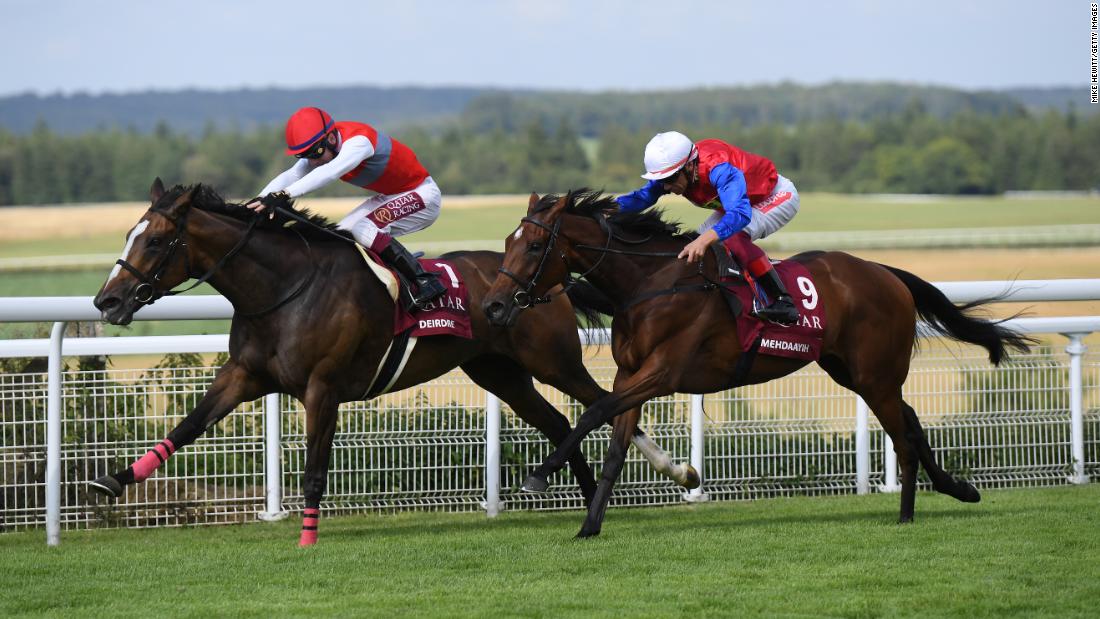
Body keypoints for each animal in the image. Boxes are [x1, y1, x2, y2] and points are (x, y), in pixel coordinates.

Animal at [486, 191, 1034, 540]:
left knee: (902, 434)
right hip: (853, 371)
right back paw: (958, 488)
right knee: (913, 421)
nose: (493, 306)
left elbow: (594, 412)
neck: (653, 283)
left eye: (533, 245)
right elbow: (616, 446)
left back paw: (906, 516)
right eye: (507, 244)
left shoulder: (662, 372)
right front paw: (589, 526)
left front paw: (540, 475)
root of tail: (885, 272)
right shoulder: (631, 374)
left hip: (875, 374)